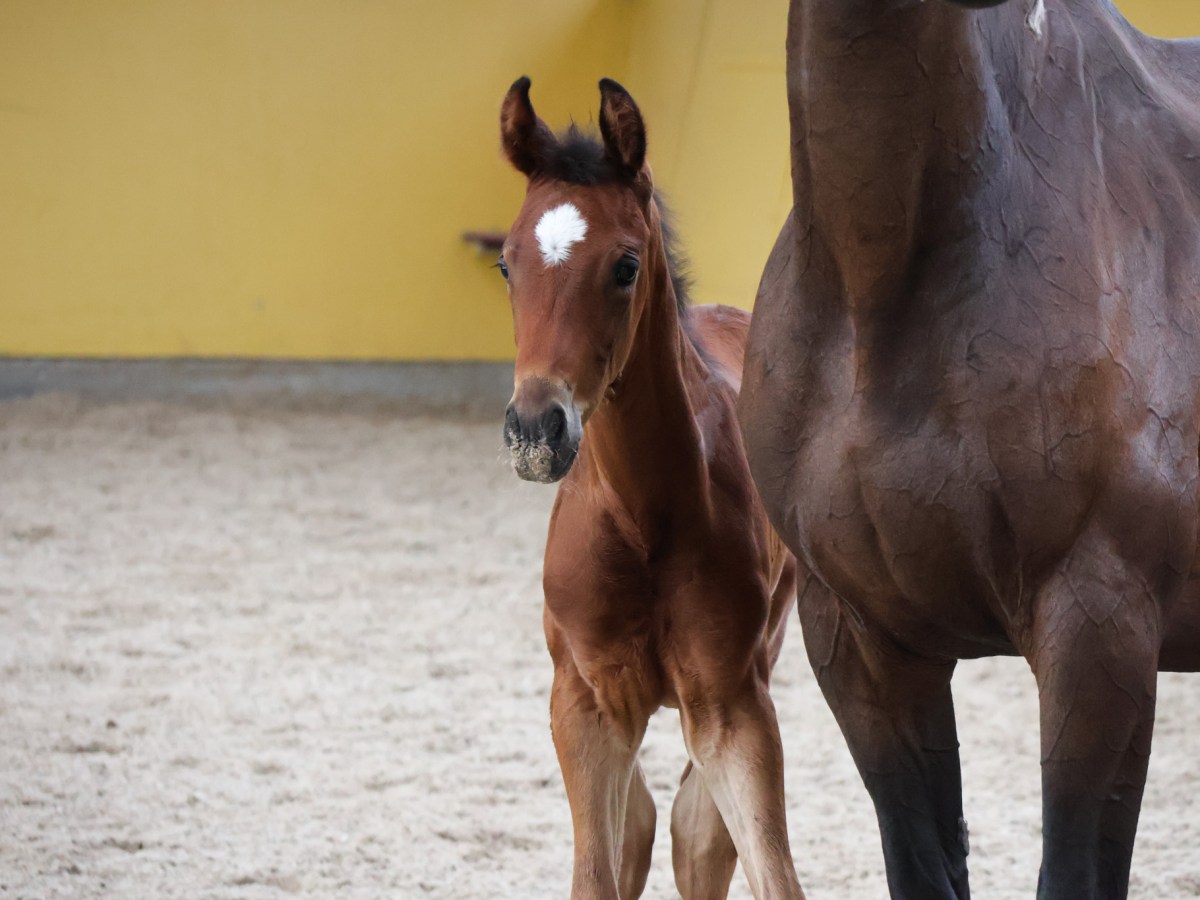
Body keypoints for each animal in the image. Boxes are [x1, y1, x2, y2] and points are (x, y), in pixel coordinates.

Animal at [496, 77, 806, 899]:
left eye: (626, 265)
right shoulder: (585, 702)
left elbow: (746, 856)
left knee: (696, 830)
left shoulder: (732, 705)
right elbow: (602, 867)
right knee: (641, 821)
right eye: (506, 263)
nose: (535, 432)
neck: (643, 518)